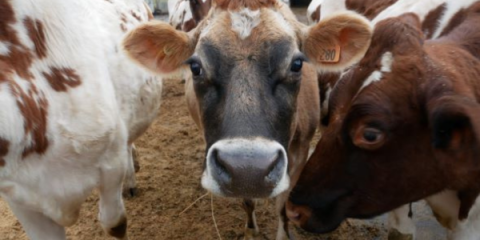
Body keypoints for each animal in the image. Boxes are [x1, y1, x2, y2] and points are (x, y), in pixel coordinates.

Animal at [121, 0, 376, 238]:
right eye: (195, 67)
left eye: (296, 64)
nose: (249, 169)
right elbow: (246, 199)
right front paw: (251, 230)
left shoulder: (300, 151)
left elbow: (282, 203)